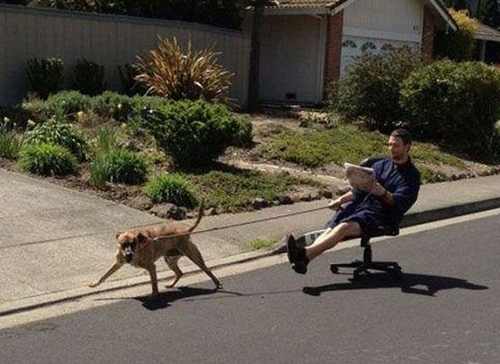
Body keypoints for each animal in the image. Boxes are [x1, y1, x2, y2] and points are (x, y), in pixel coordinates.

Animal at [89, 202, 221, 298]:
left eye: (133, 244)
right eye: (123, 244)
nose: (128, 254)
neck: (138, 249)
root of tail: (185, 231)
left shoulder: (151, 267)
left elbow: (154, 283)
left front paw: (154, 295)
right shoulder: (118, 263)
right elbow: (104, 275)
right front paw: (95, 283)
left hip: (194, 256)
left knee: (207, 269)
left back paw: (217, 283)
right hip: (170, 259)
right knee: (179, 273)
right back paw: (171, 284)